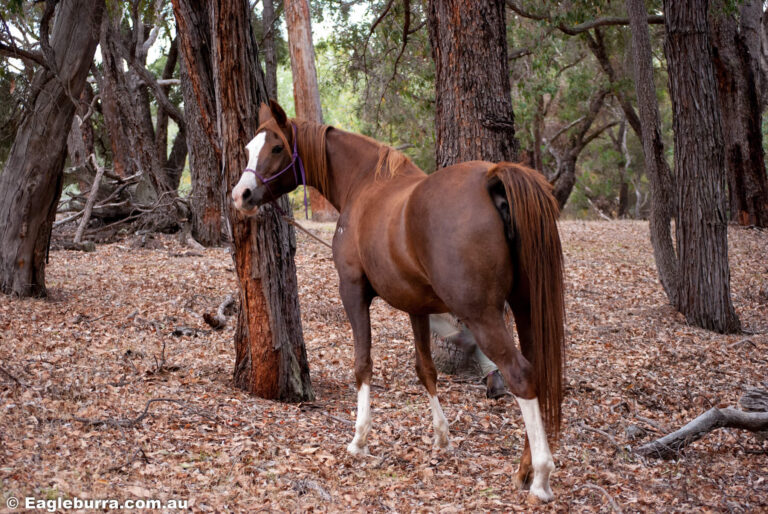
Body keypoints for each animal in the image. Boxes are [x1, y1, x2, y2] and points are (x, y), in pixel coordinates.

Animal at [230, 100, 564, 500]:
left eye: (277, 147)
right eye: (249, 149)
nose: (241, 195)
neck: (365, 185)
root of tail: (492, 178)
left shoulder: (353, 291)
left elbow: (363, 365)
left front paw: (359, 440)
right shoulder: (416, 306)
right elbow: (426, 370)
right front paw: (441, 438)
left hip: (483, 315)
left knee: (520, 374)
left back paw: (542, 477)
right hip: (526, 308)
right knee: (537, 371)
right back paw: (525, 469)